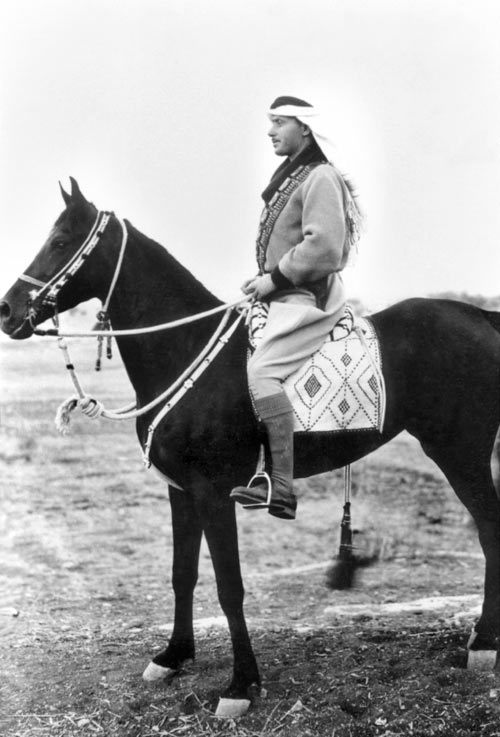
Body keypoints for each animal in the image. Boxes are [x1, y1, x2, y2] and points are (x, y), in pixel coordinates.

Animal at [0, 175, 500, 704]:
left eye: (59, 242)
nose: (7, 310)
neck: (186, 349)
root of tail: (481, 316)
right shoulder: (180, 491)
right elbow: (183, 574)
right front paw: (173, 656)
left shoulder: (213, 492)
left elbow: (229, 585)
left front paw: (241, 683)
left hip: (460, 454)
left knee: (489, 529)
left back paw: (484, 642)